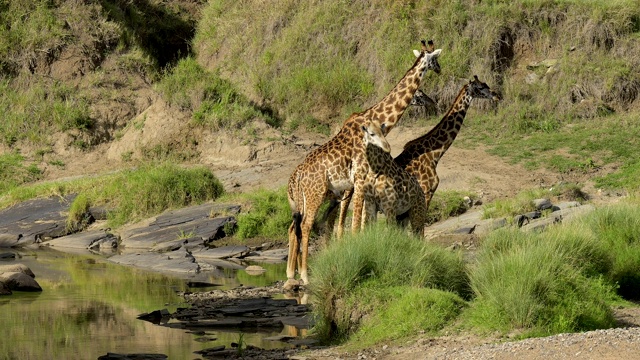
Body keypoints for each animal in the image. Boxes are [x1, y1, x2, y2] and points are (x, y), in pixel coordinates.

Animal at [286, 40, 442, 290]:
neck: (375, 118)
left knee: (296, 227)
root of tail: (296, 178)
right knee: (306, 227)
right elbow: (354, 225)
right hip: (314, 195)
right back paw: (304, 276)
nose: (439, 70)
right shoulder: (358, 181)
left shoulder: (358, 185)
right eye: (435, 59)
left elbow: (352, 224)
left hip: (305, 200)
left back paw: (291, 275)